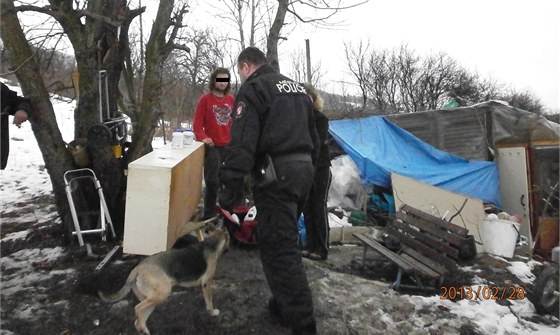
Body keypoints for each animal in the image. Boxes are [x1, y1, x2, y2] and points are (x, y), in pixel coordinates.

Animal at [99, 227, 231, 334]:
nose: (228, 249)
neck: (212, 242)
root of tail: (138, 268)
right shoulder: (207, 283)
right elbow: (209, 301)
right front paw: (213, 312)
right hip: (163, 293)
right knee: (138, 309)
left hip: (152, 299)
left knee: (139, 318)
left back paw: (143, 330)